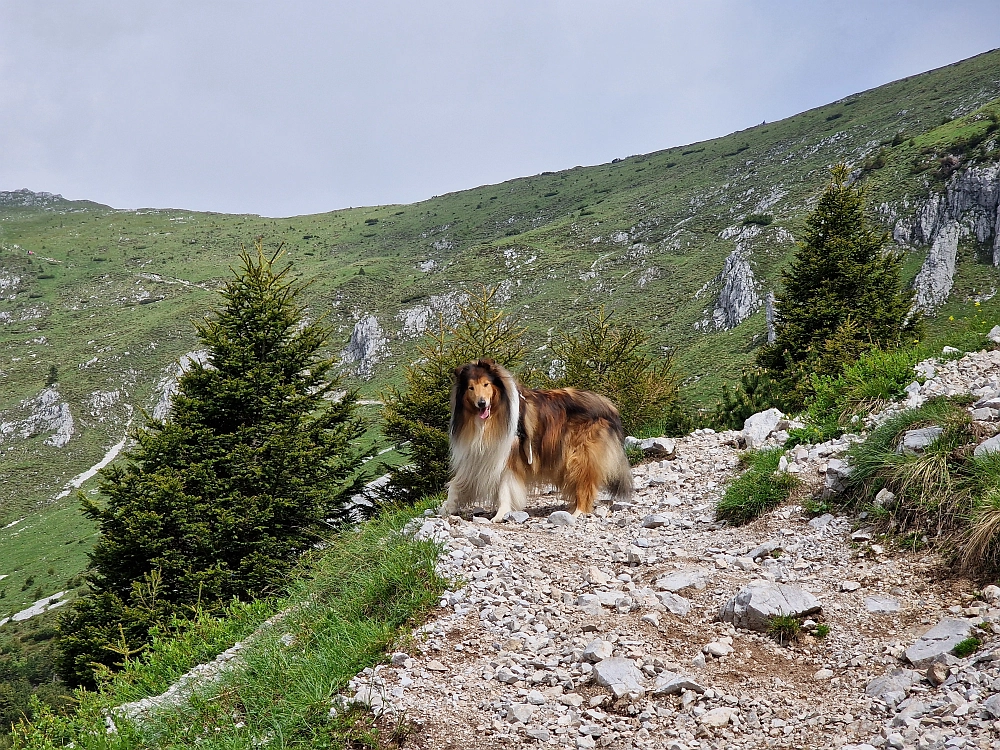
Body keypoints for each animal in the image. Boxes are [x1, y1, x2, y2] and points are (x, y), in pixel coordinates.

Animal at [440, 358, 632, 524]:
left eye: (486, 384)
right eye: (471, 388)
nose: (481, 403)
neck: (491, 417)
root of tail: (608, 405)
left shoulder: (508, 458)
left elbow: (504, 489)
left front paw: (501, 514)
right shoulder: (477, 457)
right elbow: (456, 484)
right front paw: (447, 508)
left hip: (579, 457)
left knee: (586, 485)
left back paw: (577, 512)